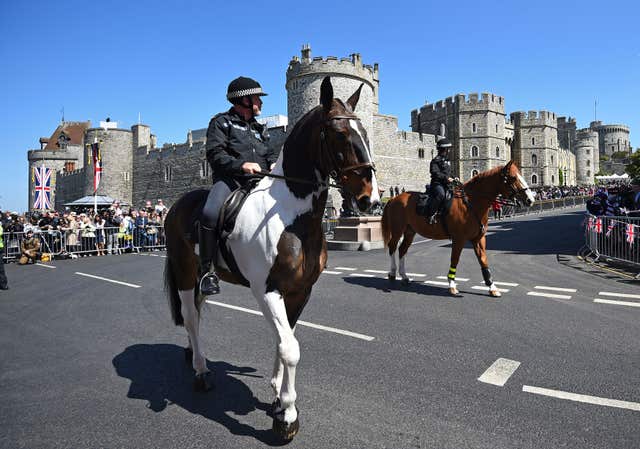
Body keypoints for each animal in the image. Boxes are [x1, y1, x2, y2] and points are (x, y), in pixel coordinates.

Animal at [162, 76, 380, 438]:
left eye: (364, 129)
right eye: (339, 133)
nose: (371, 200)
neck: (292, 218)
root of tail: (177, 205)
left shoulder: (299, 291)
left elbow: (284, 340)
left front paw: (278, 396)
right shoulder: (266, 290)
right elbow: (290, 348)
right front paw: (287, 416)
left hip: (201, 277)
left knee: (198, 314)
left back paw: (196, 356)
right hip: (184, 271)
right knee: (191, 318)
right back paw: (201, 372)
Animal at [380, 163, 536, 296]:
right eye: (513, 178)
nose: (530, 199)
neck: (471, 203)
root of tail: (394, 199)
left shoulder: (478, 239)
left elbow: (483, 261)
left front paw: (492, 286)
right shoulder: (459, 239)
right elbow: (455, 260)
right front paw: (452, 284)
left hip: (410, 232)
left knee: (402, 250)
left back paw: (404, 276)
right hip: (398, 230)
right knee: (392, 247)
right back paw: (392, 273)